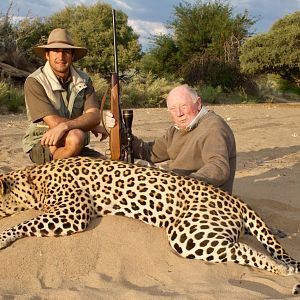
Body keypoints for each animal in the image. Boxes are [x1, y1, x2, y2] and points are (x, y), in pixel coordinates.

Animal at [0, 156, 298, 280]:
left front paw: (2, 237)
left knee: (243, 249)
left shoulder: (72, 212)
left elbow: (25, 223)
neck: (30, 180)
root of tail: (236, 200)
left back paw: (280, 268)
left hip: (187, 233)